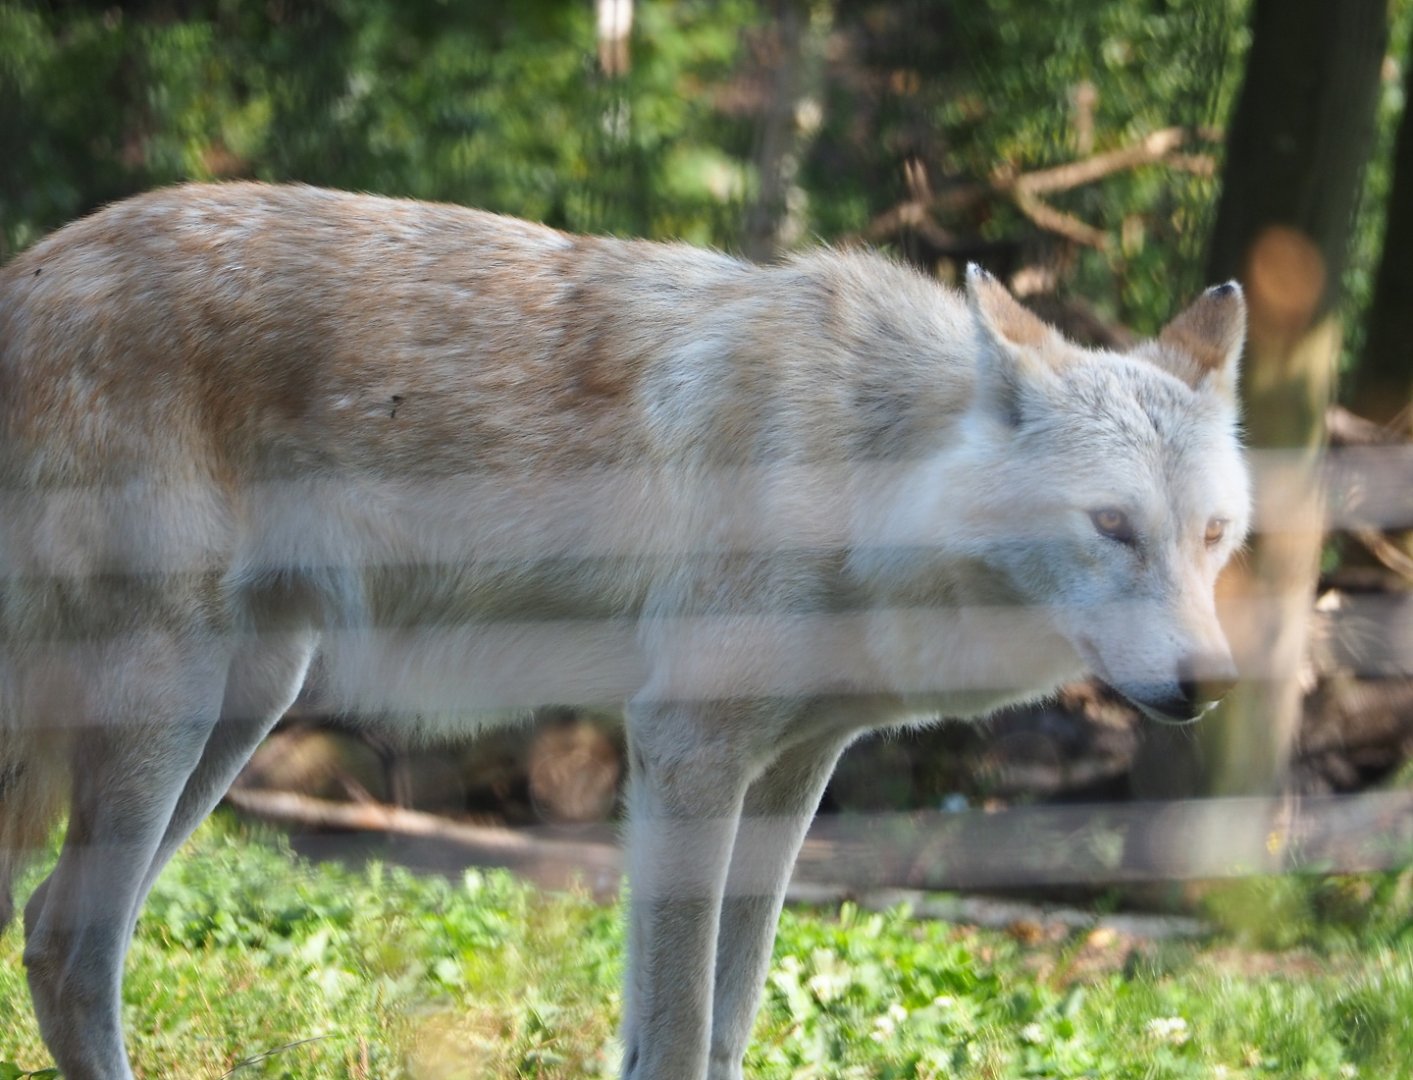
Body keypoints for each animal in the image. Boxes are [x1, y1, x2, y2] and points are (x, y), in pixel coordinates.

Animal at [0, 183, 1248, 1080]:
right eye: (1111, 526)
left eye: (1215, 535)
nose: (1211, 682)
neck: (867, 475)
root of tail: (25, 276)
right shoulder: (686, 755)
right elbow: (678, 1032)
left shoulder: (790, 772)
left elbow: (726, 1030)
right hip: (170, 715)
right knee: (66, 944)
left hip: (238, 711)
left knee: (52, 928)